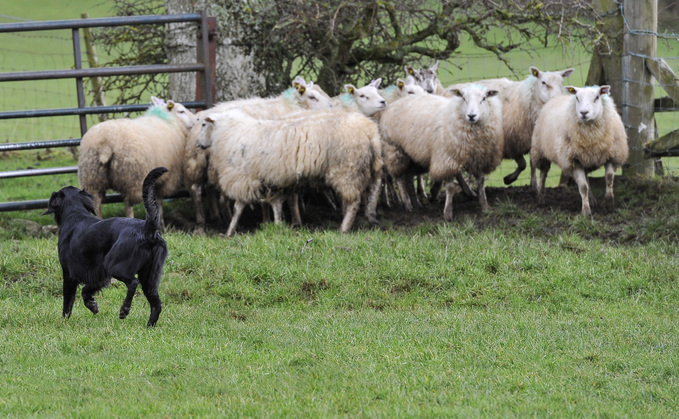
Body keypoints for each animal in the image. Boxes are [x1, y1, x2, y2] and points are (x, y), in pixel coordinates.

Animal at [44, 167, 170, 328]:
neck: (74, 214)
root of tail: (148, 227)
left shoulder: (69, 274)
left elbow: (68, 303)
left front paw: (64, 322)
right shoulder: (99, 275)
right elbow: (86, 291)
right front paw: (93, 306)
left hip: (114, 265)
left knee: (133, 283)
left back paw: (124, 310)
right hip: (149, 277)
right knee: (156, 304)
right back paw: (149, 326)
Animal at [80, 97, 198, 225]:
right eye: (181, 111)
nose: (197, 119)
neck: (169, 121)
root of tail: (105, 143)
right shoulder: (166, 178)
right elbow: (158, 199)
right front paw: (161, 223)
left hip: (92, 177)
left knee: (96, 202)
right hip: (133, 176)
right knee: (128, 203)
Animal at [197, 109, 386, 236]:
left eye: (204, 124)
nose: (198, 144)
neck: (228, 133)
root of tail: (370, 131)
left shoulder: (243, 178)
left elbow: (238, 208)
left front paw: (229, 231)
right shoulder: (272, 180)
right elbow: (276, 204)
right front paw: (277, 225)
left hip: (348, 169)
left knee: (354, 201)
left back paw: (344, 228)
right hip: (366, 167)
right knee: (373, 189)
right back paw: (368, 217)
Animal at [382, 83, 504, 218]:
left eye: (484, 98)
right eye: (463, 98)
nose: (471, 116)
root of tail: (395, 103)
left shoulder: (480, 157)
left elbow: (481, 182)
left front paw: (484, 206)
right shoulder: (446, 159)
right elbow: (450, 187)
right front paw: (448, 213)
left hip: (414, 155)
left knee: (408, 177)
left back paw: (416, 203)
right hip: (394, 149)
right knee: (399, 177)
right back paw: (407, 203)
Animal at [532, 85, 632, 217]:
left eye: (597, 97)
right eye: (577, 98)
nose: (584, 113)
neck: (592, 138)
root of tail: (558, 98)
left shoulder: (611, 156)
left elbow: (609, 179)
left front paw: (609, 204)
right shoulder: (574, 161)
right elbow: (583, 187)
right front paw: (586, 211)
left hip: (585, 159)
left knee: (587, 179)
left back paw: (593, 200)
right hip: (540, 151)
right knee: (543, 174)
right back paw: (540, 197)